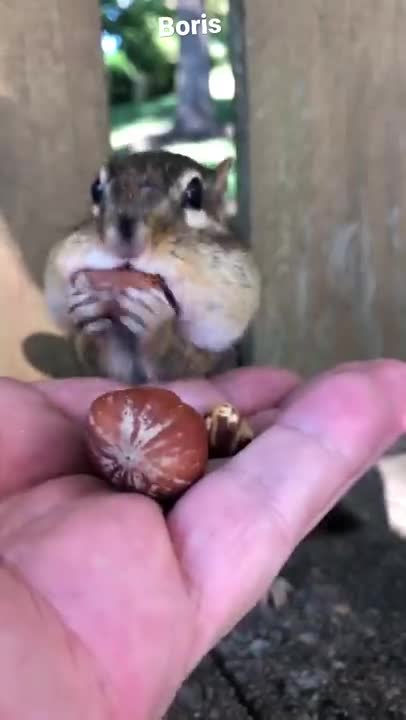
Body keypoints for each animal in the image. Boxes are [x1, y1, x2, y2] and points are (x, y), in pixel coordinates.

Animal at [44, 150, 261, 384]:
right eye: (95, 189)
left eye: (195, 193)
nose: (125, 244)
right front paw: (86, 305)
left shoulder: (212, 358)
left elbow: (178, 364)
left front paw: (157, 322)